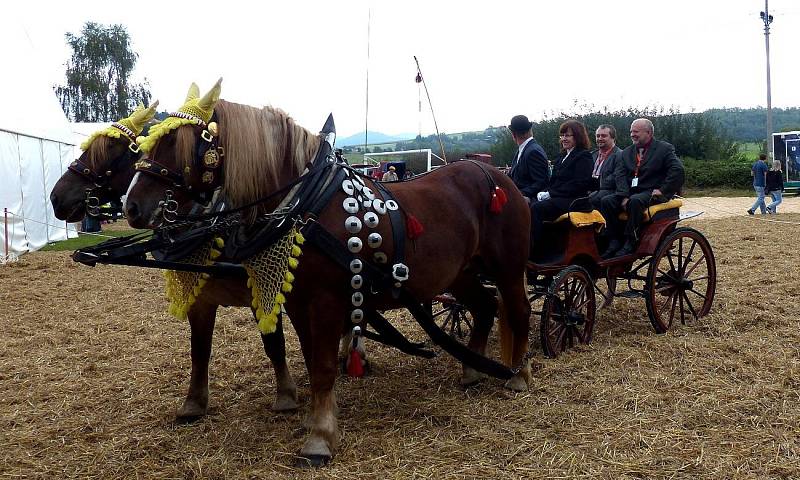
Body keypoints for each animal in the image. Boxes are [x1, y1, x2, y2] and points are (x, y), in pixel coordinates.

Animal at [49, 104, 300, 416]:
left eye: (109, 148)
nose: (56, 198)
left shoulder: (265, 285)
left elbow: (274, 341)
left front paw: (286, 395)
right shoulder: (200, 297)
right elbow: (199, 348)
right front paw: (194, 402)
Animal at [123, 79, 532, 464]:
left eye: (176, 141)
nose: (132, 206)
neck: (307, 203)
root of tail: (495, 174)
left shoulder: (324, 301)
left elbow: (320, 365)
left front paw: (319, 438)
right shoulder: (297, 302)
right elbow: (308, 359)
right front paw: (316, 418)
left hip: (508, 268)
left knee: (517, 309)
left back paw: (519, 375)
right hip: (459, 272)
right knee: (483, 306)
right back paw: (472, 370)